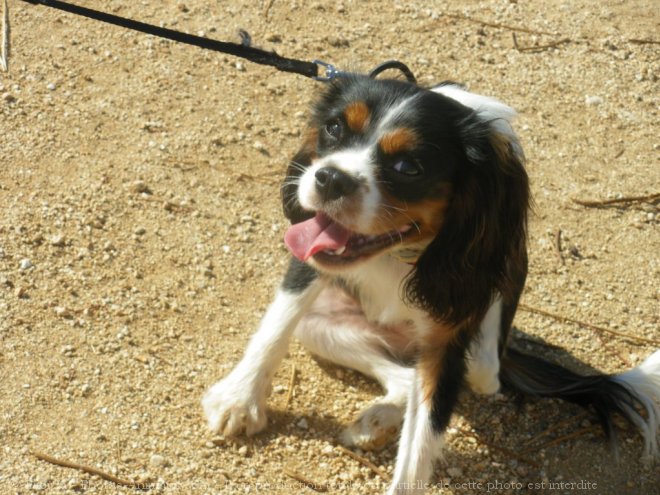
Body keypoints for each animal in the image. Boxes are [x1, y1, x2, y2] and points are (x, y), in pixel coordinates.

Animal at [202, 75, 660, 494]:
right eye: (333, 128)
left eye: (409, 167)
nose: (331, 178)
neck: (399, 250)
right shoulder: (310, 263)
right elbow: (276, 326)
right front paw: (240, 400)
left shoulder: (450, 332)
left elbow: (421, 444)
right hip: (320, 326)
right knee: (404, 378)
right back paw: (375, 422)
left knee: (479, 373)